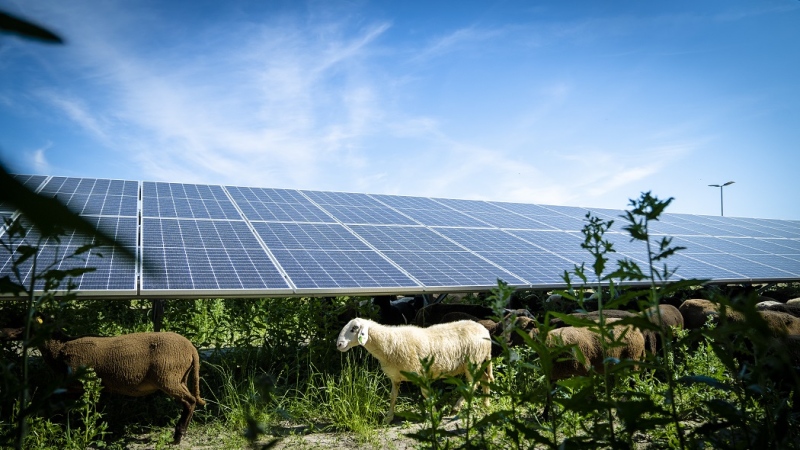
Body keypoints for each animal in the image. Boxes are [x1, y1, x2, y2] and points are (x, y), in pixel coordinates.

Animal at [3, 326, 205, 444]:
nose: (5, 333)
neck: (59, 351)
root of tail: (191, 349)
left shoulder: (80, 385)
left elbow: (76, 410)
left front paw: (74, 432)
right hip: (180, 378)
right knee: (191, 401)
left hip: (169, 377)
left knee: (190, 401)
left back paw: (178, 435)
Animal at [336, 314, 494, 424]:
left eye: (354, 328)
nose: (339, 344)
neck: (388, 343)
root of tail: (485, 331)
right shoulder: (395, 377)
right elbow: (393, 397)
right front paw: (388, 418)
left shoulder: (420, 373)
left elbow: (426, 394)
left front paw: (433, 414)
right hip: (474, 363)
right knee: (484, 379)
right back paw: (486, 404)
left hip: (472, 361)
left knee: (473, 384)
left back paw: (457, 407)